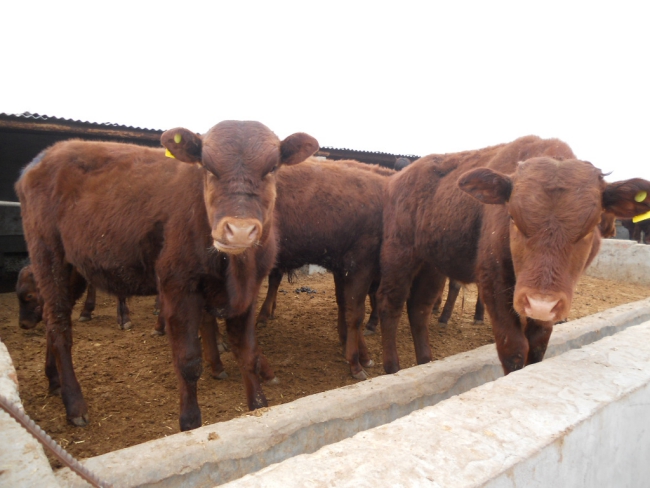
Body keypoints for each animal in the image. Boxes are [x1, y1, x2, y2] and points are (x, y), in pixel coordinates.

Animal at [15, 122, 316, 430]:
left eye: (272, 167)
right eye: (207, 167)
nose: (240, 230)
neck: (233, 270)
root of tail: (44, 156)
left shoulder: (248, 291)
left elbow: (248, 353)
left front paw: (259, 407)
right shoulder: (176, 286)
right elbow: (188, 361)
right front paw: (190, 421)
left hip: (75, 266)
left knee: (51, 318)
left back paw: (54, 380)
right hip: (48, 255)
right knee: (59, 323)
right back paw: (74, 404)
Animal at [374, 135, 648, 376]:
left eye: (590, 227)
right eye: (513, 218)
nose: (539, 303)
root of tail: (398, 177)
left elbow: (537, 346)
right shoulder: (492, 280)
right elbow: (514, 348)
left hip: (432, 264)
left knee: (419, 308)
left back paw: (425, 360)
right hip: (399, 252)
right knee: (390, 304)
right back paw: (392, 367)